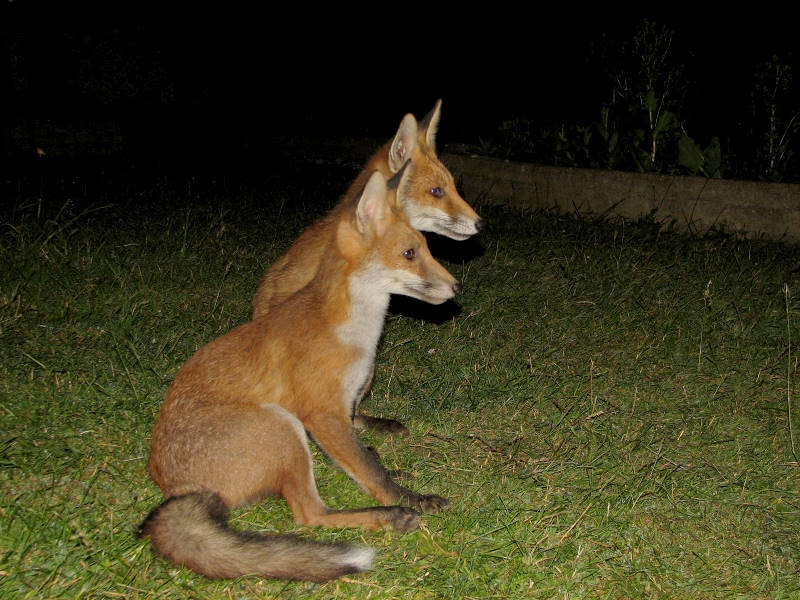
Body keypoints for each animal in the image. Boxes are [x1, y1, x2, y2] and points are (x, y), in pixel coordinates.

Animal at [139, 166, 460, 582]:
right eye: (409, 254)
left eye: (428, 250)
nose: (456, 286)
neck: (351, 332)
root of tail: (172, 486)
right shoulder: (321, 414)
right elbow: (373, 473)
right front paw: (410, 500)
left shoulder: (344, 408)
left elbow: (363, 459)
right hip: (282, 427)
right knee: (310, 515)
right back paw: (390, 517)